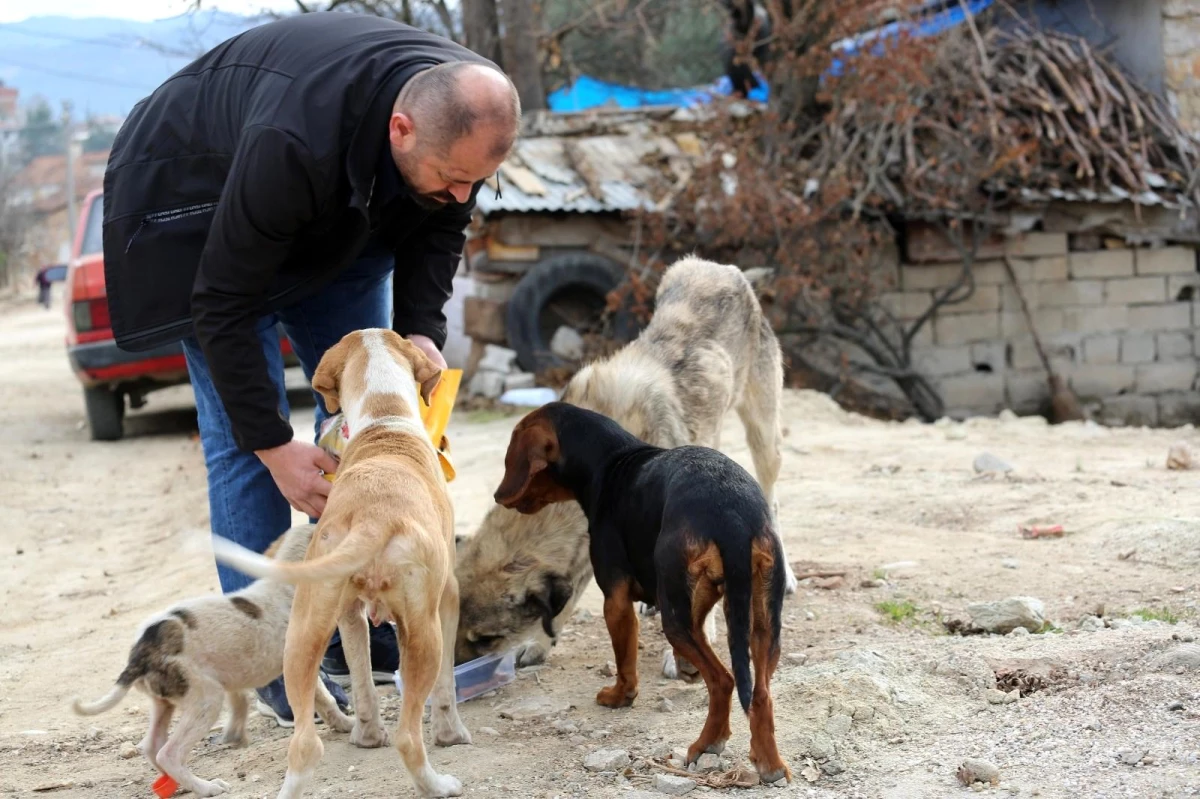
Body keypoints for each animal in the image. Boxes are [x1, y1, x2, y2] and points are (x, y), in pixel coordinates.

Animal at [71, 523, 350, 796]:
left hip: (164, 702)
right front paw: (346, 723)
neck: (285, 583)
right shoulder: (301, 661)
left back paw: (176, 785)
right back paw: (207, 787)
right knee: (169, 753)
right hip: (206, 698)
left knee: (152, 746)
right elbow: (325, 698)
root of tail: (141, 650)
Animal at [216, 326, 472, 791]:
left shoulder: (349, 615)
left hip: (304, 634)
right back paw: (438, 785)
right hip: (422, 633)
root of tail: (372, 518)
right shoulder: (447, 601)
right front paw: (452, 734)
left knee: (304, 743)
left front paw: (367, 736)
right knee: (409, 736)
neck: (384, 419)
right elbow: (446, 690)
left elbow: (363, 681)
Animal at [492, 400, 792, 782]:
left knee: (723, 681)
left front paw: (620, 696)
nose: (498, 496)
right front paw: (684, 669)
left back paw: (706, 743)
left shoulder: (616, 601)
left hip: (676, 621)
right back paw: (769, 763)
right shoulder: (692, 598)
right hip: (763, 624)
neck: (613, 462)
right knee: (760, 693)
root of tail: (733, 516)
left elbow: (624, 660)